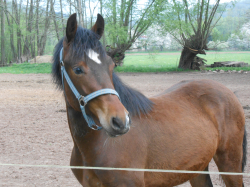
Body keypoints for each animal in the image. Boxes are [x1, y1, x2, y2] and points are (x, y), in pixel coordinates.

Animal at [51, 13, 247, 187]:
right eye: (77, 69)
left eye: (111, 65)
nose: (120, 121)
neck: (97, 146)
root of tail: (227, 92)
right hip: (197, 169)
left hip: (230, 165)